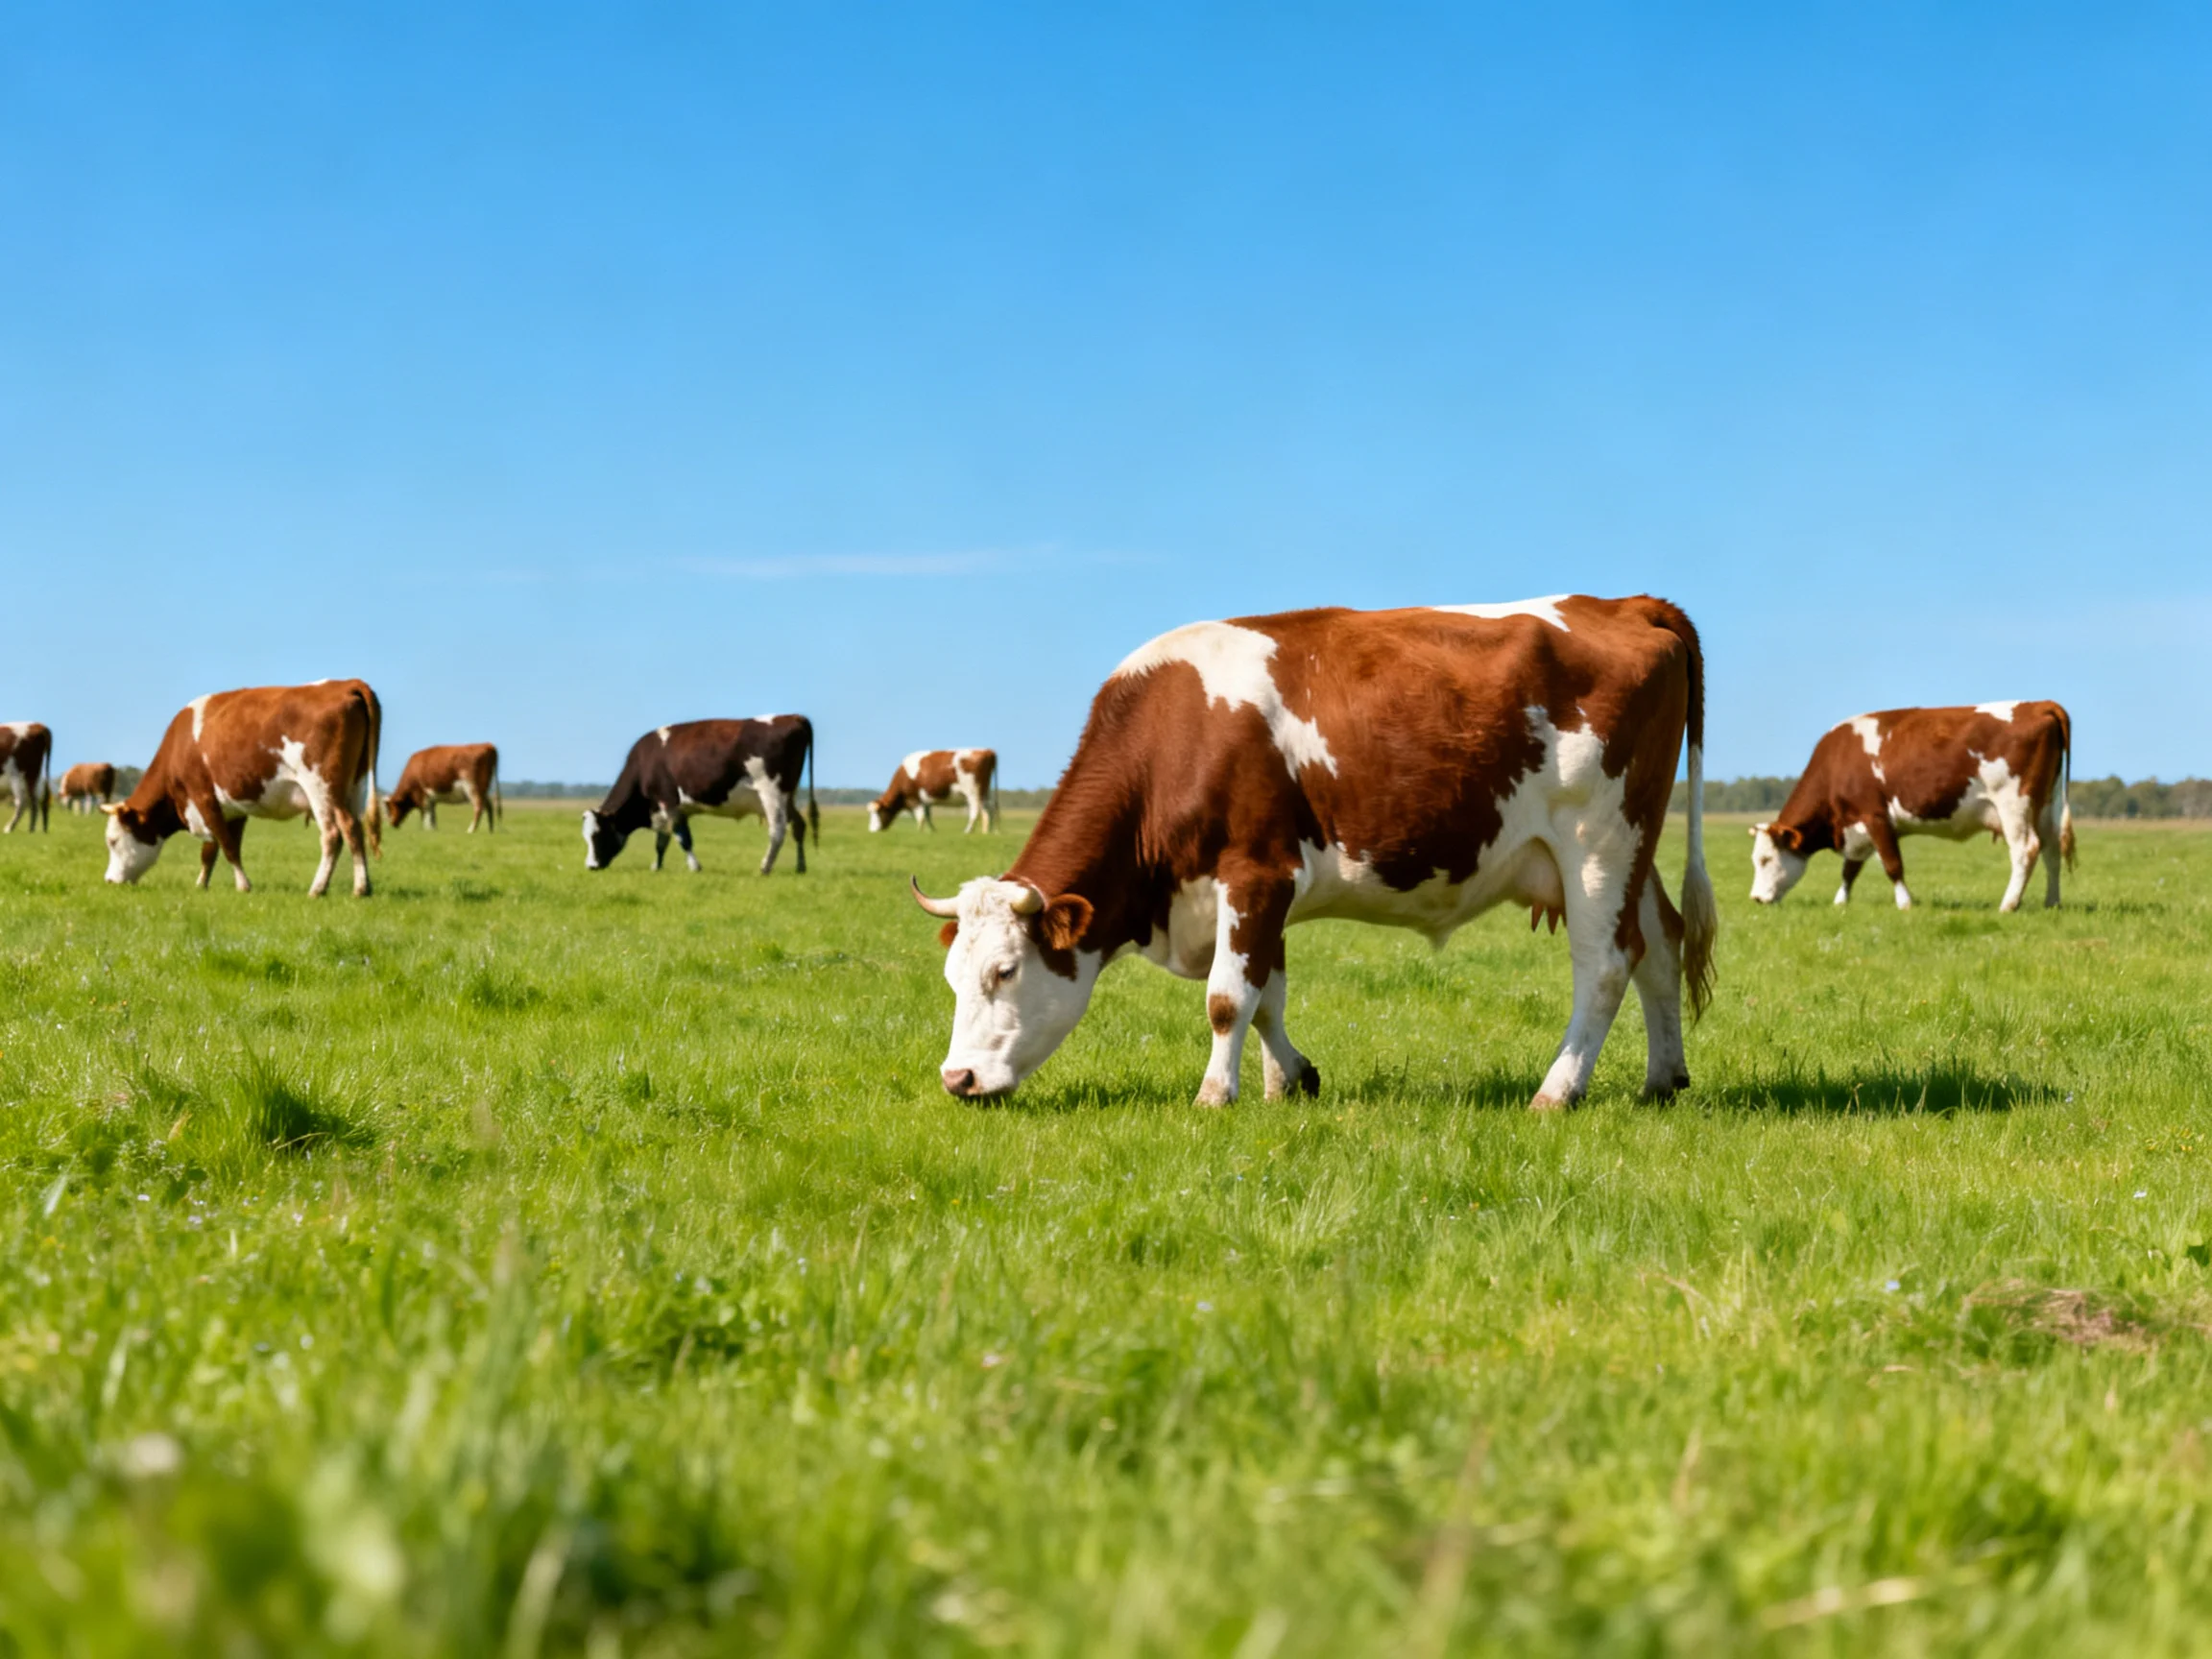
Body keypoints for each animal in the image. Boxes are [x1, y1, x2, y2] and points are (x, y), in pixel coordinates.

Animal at [103, 681, 383, 897]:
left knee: (334, 833)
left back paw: (318, 889)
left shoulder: (203, 796)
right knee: (355, 830)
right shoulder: (233, 807)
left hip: (322, 787)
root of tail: (345, 684)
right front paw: (201, 884)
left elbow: (226, 844)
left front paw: (243, 885)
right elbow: (213, 850)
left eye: (113, 841)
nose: (109, 881)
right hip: (354, 787)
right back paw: (363, 887)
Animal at [583, 716, 819, 875]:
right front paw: (656, 866)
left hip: (772, 793)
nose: (591, 866)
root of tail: (792, 717)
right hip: (788, 796)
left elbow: (683, 838)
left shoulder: (669, 802)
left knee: (777, 831)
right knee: (799, 825)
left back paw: (765, 867)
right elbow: (662, 842)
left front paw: (695, 866)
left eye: (598, 835)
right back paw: (801, 866)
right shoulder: (666, 808)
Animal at [869, 748, 999, 834]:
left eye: (878, 812)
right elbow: (927, 816)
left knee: (975, 811)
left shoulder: (914, 798)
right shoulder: (925, 801)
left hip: (973, 793)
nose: (871, 830)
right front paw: (932, 830)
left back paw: (968, 831)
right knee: (989, 810)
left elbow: (920, 816)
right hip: (984, 793)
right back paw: (988, 831)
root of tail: (987, 751)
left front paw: (919, 831)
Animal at [910, 595, 1717, 1112]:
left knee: (1605, 965)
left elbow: (1228, 998)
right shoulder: (1263, 892)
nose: (957, 1081)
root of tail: (1625, 603)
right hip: (1632, 848)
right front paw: (1289, 1083)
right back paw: (1663, 1080)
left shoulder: (1255, 873)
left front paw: (1216, 1096)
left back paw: (1557, 1091)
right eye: (950, 977)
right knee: (1660, 946)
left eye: (1005, 971)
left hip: (1597, 842)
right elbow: (1268, 994)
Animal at [1750, 701, 2075, 913]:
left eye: (1765, 860)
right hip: (2046, 806)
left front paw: (1905, 903)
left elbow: (1892, 864)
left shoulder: (1875, 816)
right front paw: (1840, 902)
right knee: (2051, 850)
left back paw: (2008, 904)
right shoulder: (1856, 827)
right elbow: (1850, 869)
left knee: (2026, 850)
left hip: (2014, 804)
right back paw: (2052, 902)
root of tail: (2039, 705)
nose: (1755, 898)